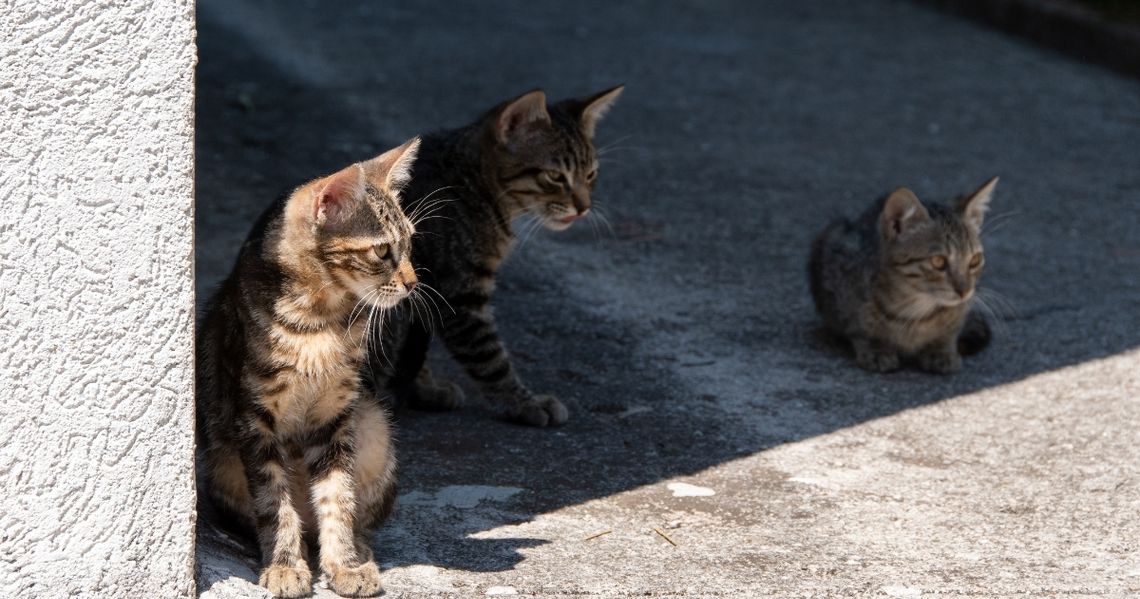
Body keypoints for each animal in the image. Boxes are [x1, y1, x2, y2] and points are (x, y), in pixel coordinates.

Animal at [196, 138, 424, 593]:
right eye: (382, 250)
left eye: (409, 243)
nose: (413, 283)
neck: (321, 320)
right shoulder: (254, 418)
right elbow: (274, 502)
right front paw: (284, 565)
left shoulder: (335, 416)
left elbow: (338, 497)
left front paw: (345, 565)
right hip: (223, 465)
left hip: (373, 423)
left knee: (356, 516)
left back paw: (360, 553)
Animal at [369, 86, 624, 426]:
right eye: (555, 176)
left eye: (591, 174)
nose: (584, 207)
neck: (473, 184)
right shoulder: (460, 294)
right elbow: (490, 358)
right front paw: (524, 402)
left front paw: (425, 388)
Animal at [811, 177, 998, 371]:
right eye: (938, 261)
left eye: (975, 260)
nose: (965, 291)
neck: (916, 306)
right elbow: (859, 327)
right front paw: (876, 348)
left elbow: (949, 332)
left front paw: (941, 350)